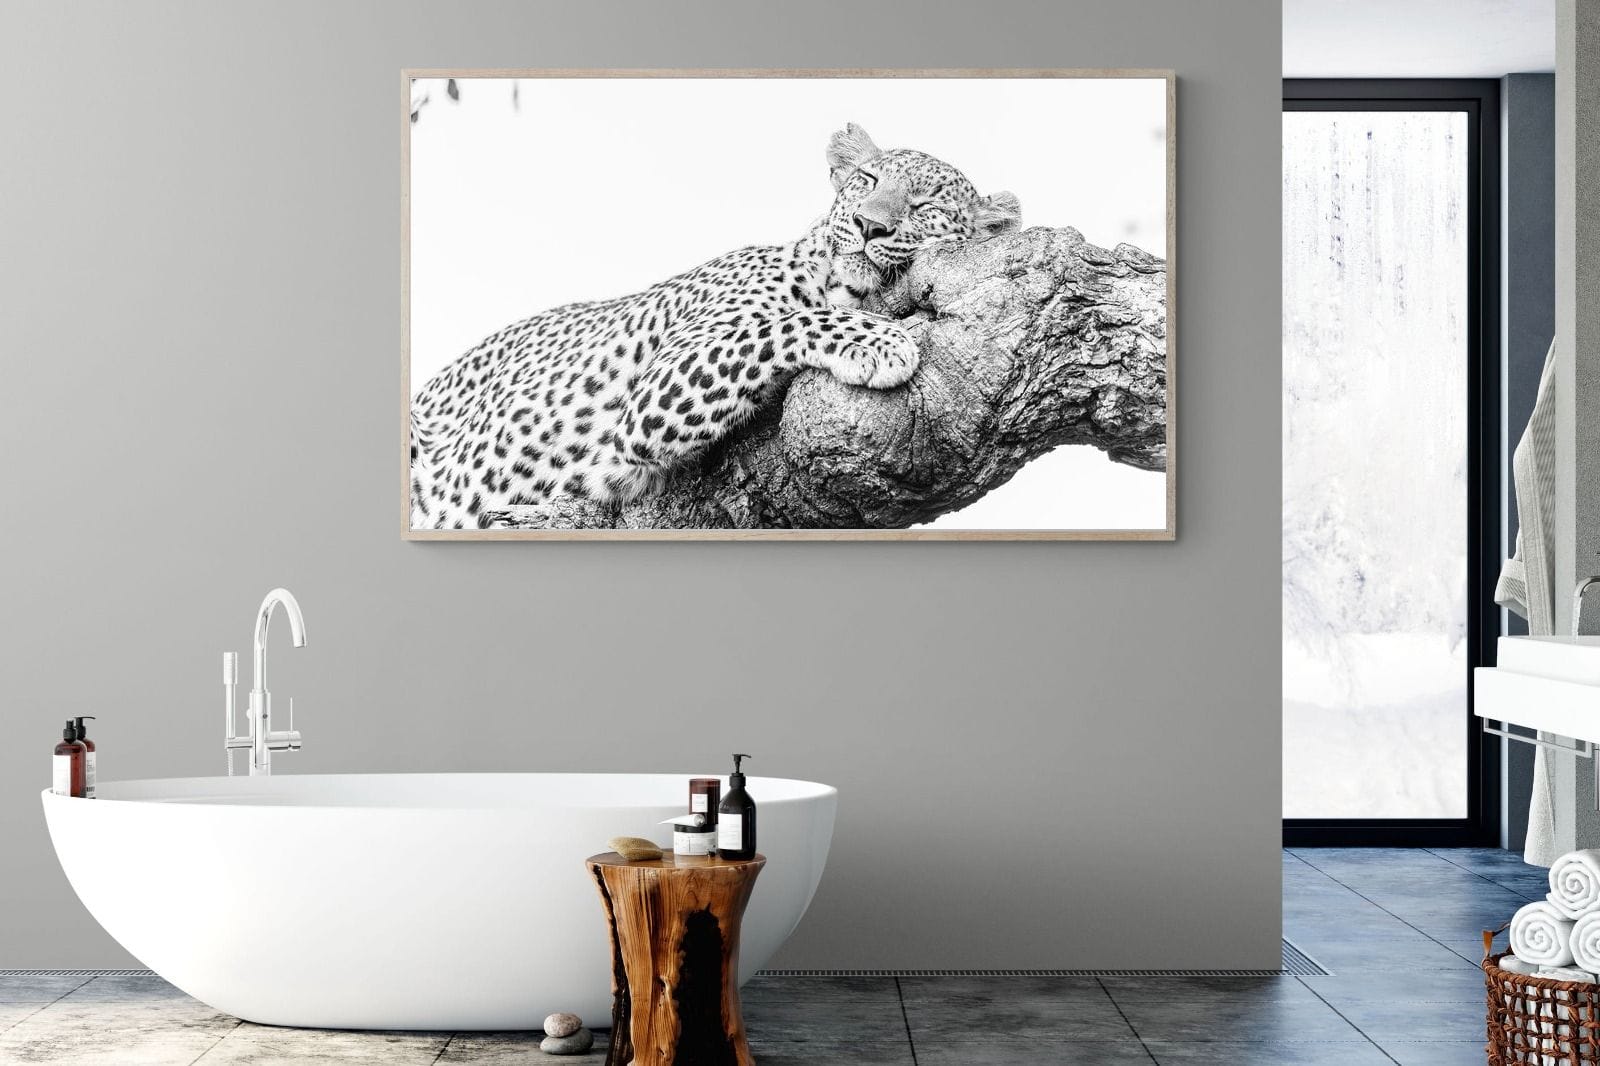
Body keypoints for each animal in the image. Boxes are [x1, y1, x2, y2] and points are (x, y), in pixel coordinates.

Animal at [408, 122, 1021, 530]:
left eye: (924, 206)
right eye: (867, 180)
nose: (868, 225)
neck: (837, 279)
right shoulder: (654, 395)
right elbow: (785, 322)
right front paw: (881, 340)